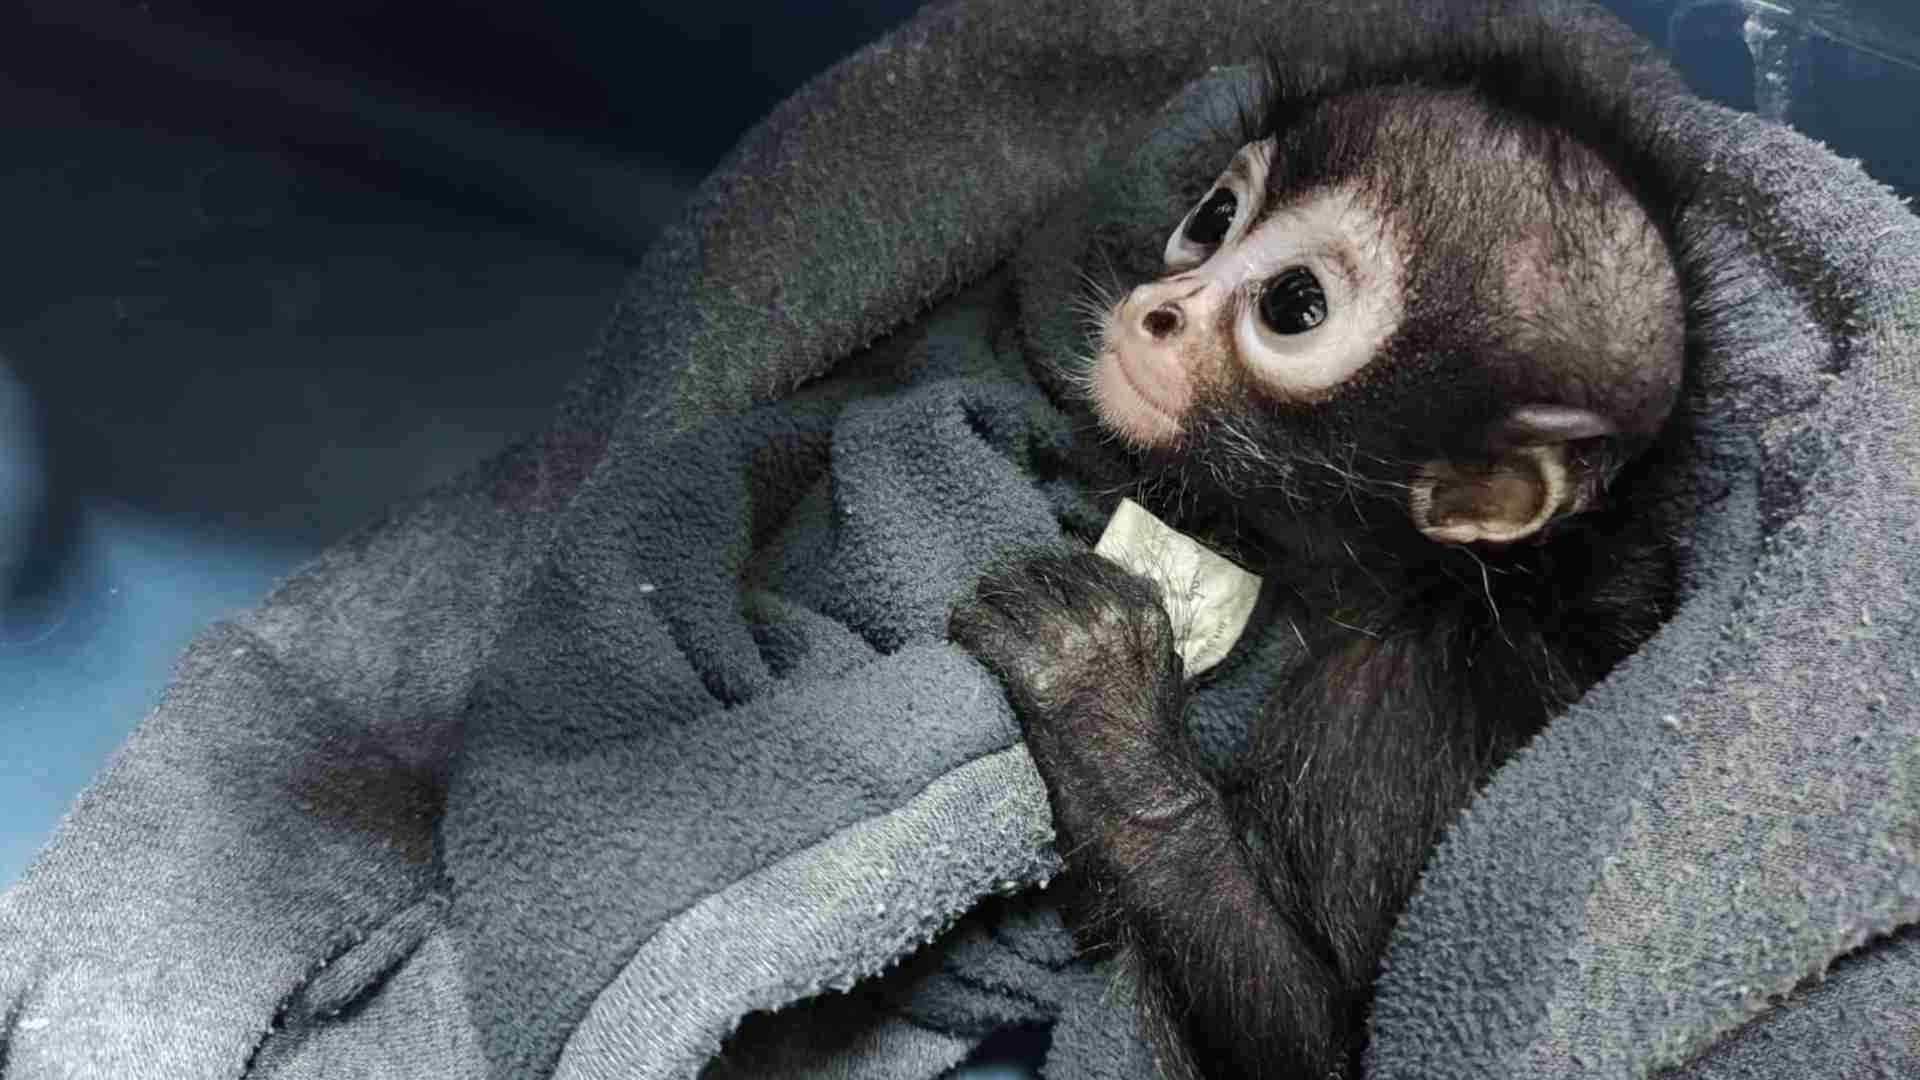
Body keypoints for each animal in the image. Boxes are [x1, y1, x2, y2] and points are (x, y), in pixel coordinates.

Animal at [947, 15, 1696, 1080]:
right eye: (1215, 217)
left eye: (1294, 306)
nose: (1159, 308)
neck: (1443, 584)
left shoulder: (1389, 717)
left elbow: (1322, 1046)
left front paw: (1102, 711)